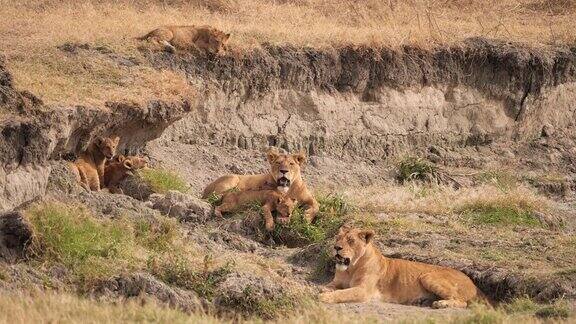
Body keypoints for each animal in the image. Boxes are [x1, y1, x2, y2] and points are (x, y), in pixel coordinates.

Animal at [320, 227, 490, 308]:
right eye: (337, 238)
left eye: (351, 240)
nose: (336, 247)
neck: (351, 268)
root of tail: (473, 283)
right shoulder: (336, 282)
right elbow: (326, 286)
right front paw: (323, 291)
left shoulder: (363, 290)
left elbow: (343, 293)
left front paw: (325, 297)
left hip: (428, 276)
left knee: (462, 302)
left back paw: (441, 304)